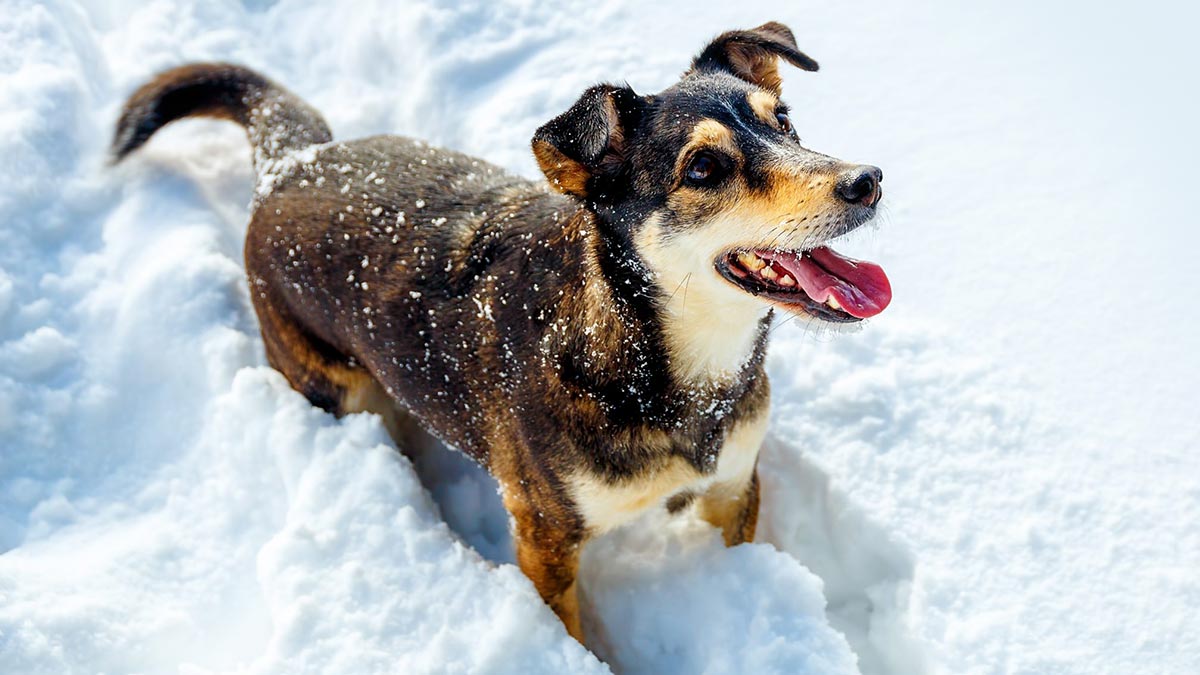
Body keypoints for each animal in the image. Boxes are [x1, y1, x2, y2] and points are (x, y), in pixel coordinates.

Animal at [112, 22, 892, 638]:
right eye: (703, 167)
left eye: (784, 120)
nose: (867, 179)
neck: (654, 360)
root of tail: (293, 164)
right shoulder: (547, 536)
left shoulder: (733, 486)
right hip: (326, 380)